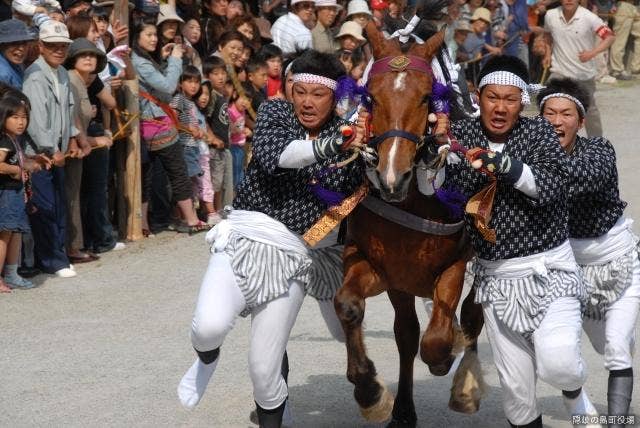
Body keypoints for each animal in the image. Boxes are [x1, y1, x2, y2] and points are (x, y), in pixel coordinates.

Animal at [336, 20, 484, 428]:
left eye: (425, 98)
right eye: (370, 97)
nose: (392, 176)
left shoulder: (453, 264)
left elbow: (436, 341)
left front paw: (447, 356)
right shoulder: (384, 268)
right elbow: (349, 307)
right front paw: (369, 389)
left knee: (471, 316)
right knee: (406, 333)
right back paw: (402, 410)